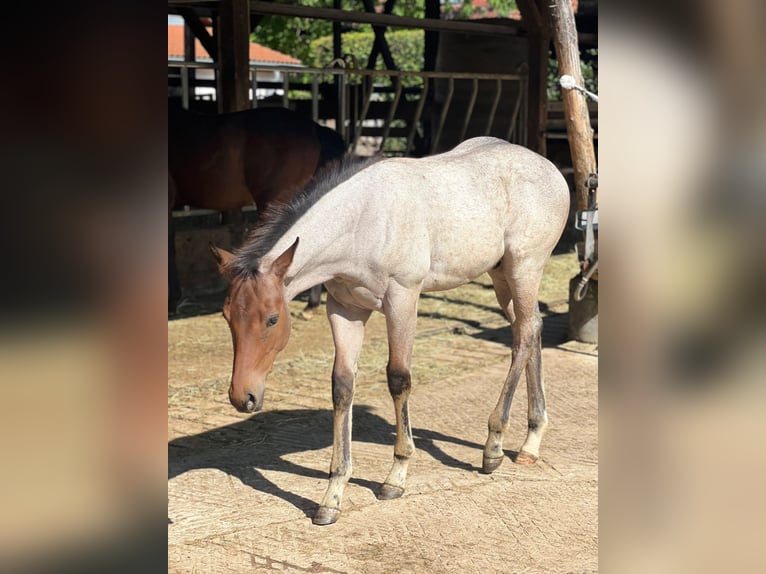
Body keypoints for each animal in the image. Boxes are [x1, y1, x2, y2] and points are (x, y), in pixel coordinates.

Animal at [209, 137, 570, 525]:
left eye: (273, 319)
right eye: (226, 316)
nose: (242, 397)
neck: (363, 222)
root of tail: (549, 169)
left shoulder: (402, 299)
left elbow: (398, 379)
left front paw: (395, 476)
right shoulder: (345, 310)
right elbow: (342, 386)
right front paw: (332, 495)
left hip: (524, 269)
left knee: (523, 337)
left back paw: (493, 447)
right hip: (501, 275)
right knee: (531, 328)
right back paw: (531, 441)